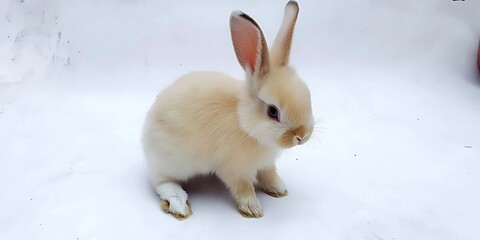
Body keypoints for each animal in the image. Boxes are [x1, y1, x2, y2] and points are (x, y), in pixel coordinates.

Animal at [142, 0, 316, 219]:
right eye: (272, 111)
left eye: (308, 95)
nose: (302, 136)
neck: (244, 123)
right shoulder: (234, 169)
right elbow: (243, 187)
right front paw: (253, 208)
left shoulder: (267, 164)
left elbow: (269, 175)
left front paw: (279, 189)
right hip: (172, 162)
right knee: (162, 182)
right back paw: (179, 204)